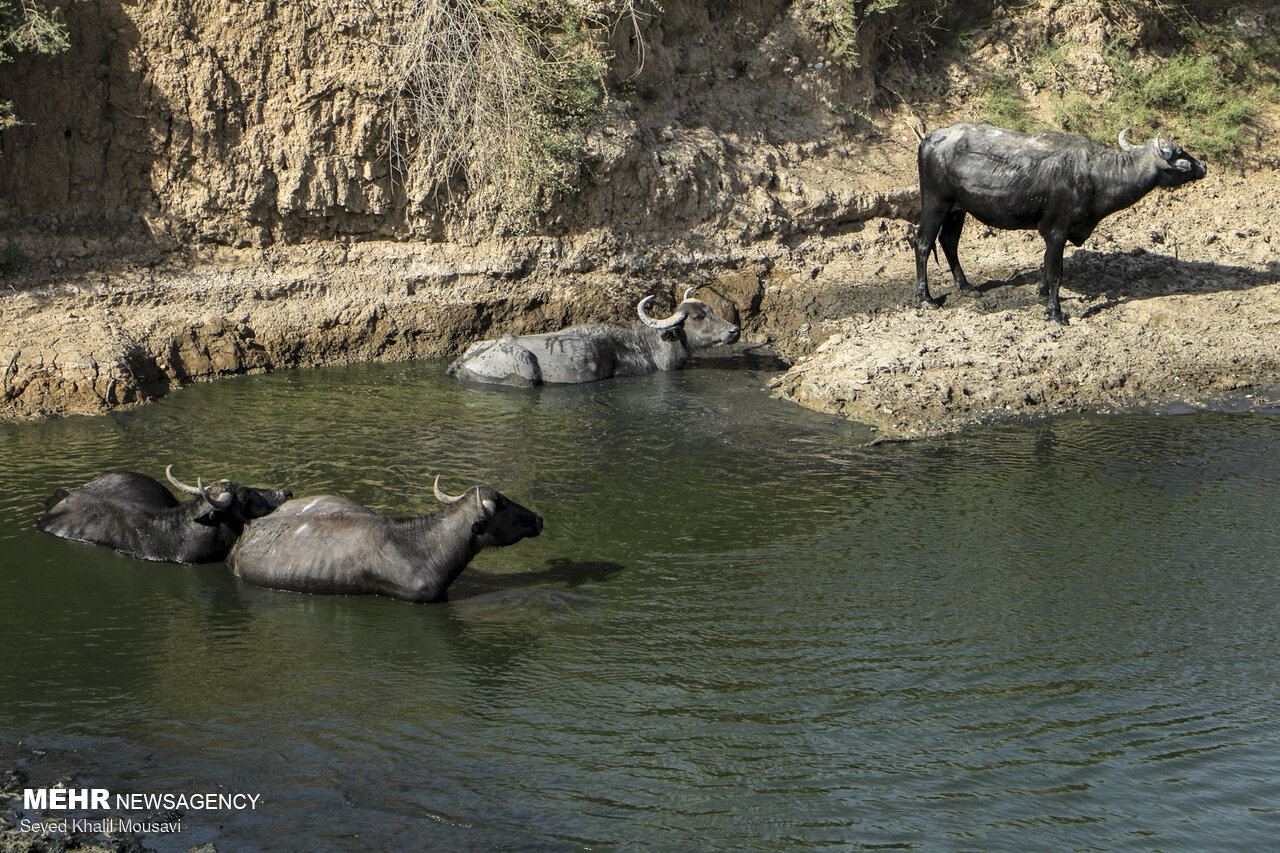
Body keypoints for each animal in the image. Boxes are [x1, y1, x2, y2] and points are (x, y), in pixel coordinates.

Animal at [916, 123, 1203, 325]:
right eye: (1181, 154)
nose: (1203, 166)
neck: (1096, 176)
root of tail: (930, 138)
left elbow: (1047, 266)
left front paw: (1042, 293)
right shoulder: (1056, 232)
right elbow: (1056, 273)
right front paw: (1056, 313)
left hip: (958, 208)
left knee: (948, 241)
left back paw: (965, 286)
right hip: (935, 202)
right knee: (922, 243)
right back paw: (926, 298)